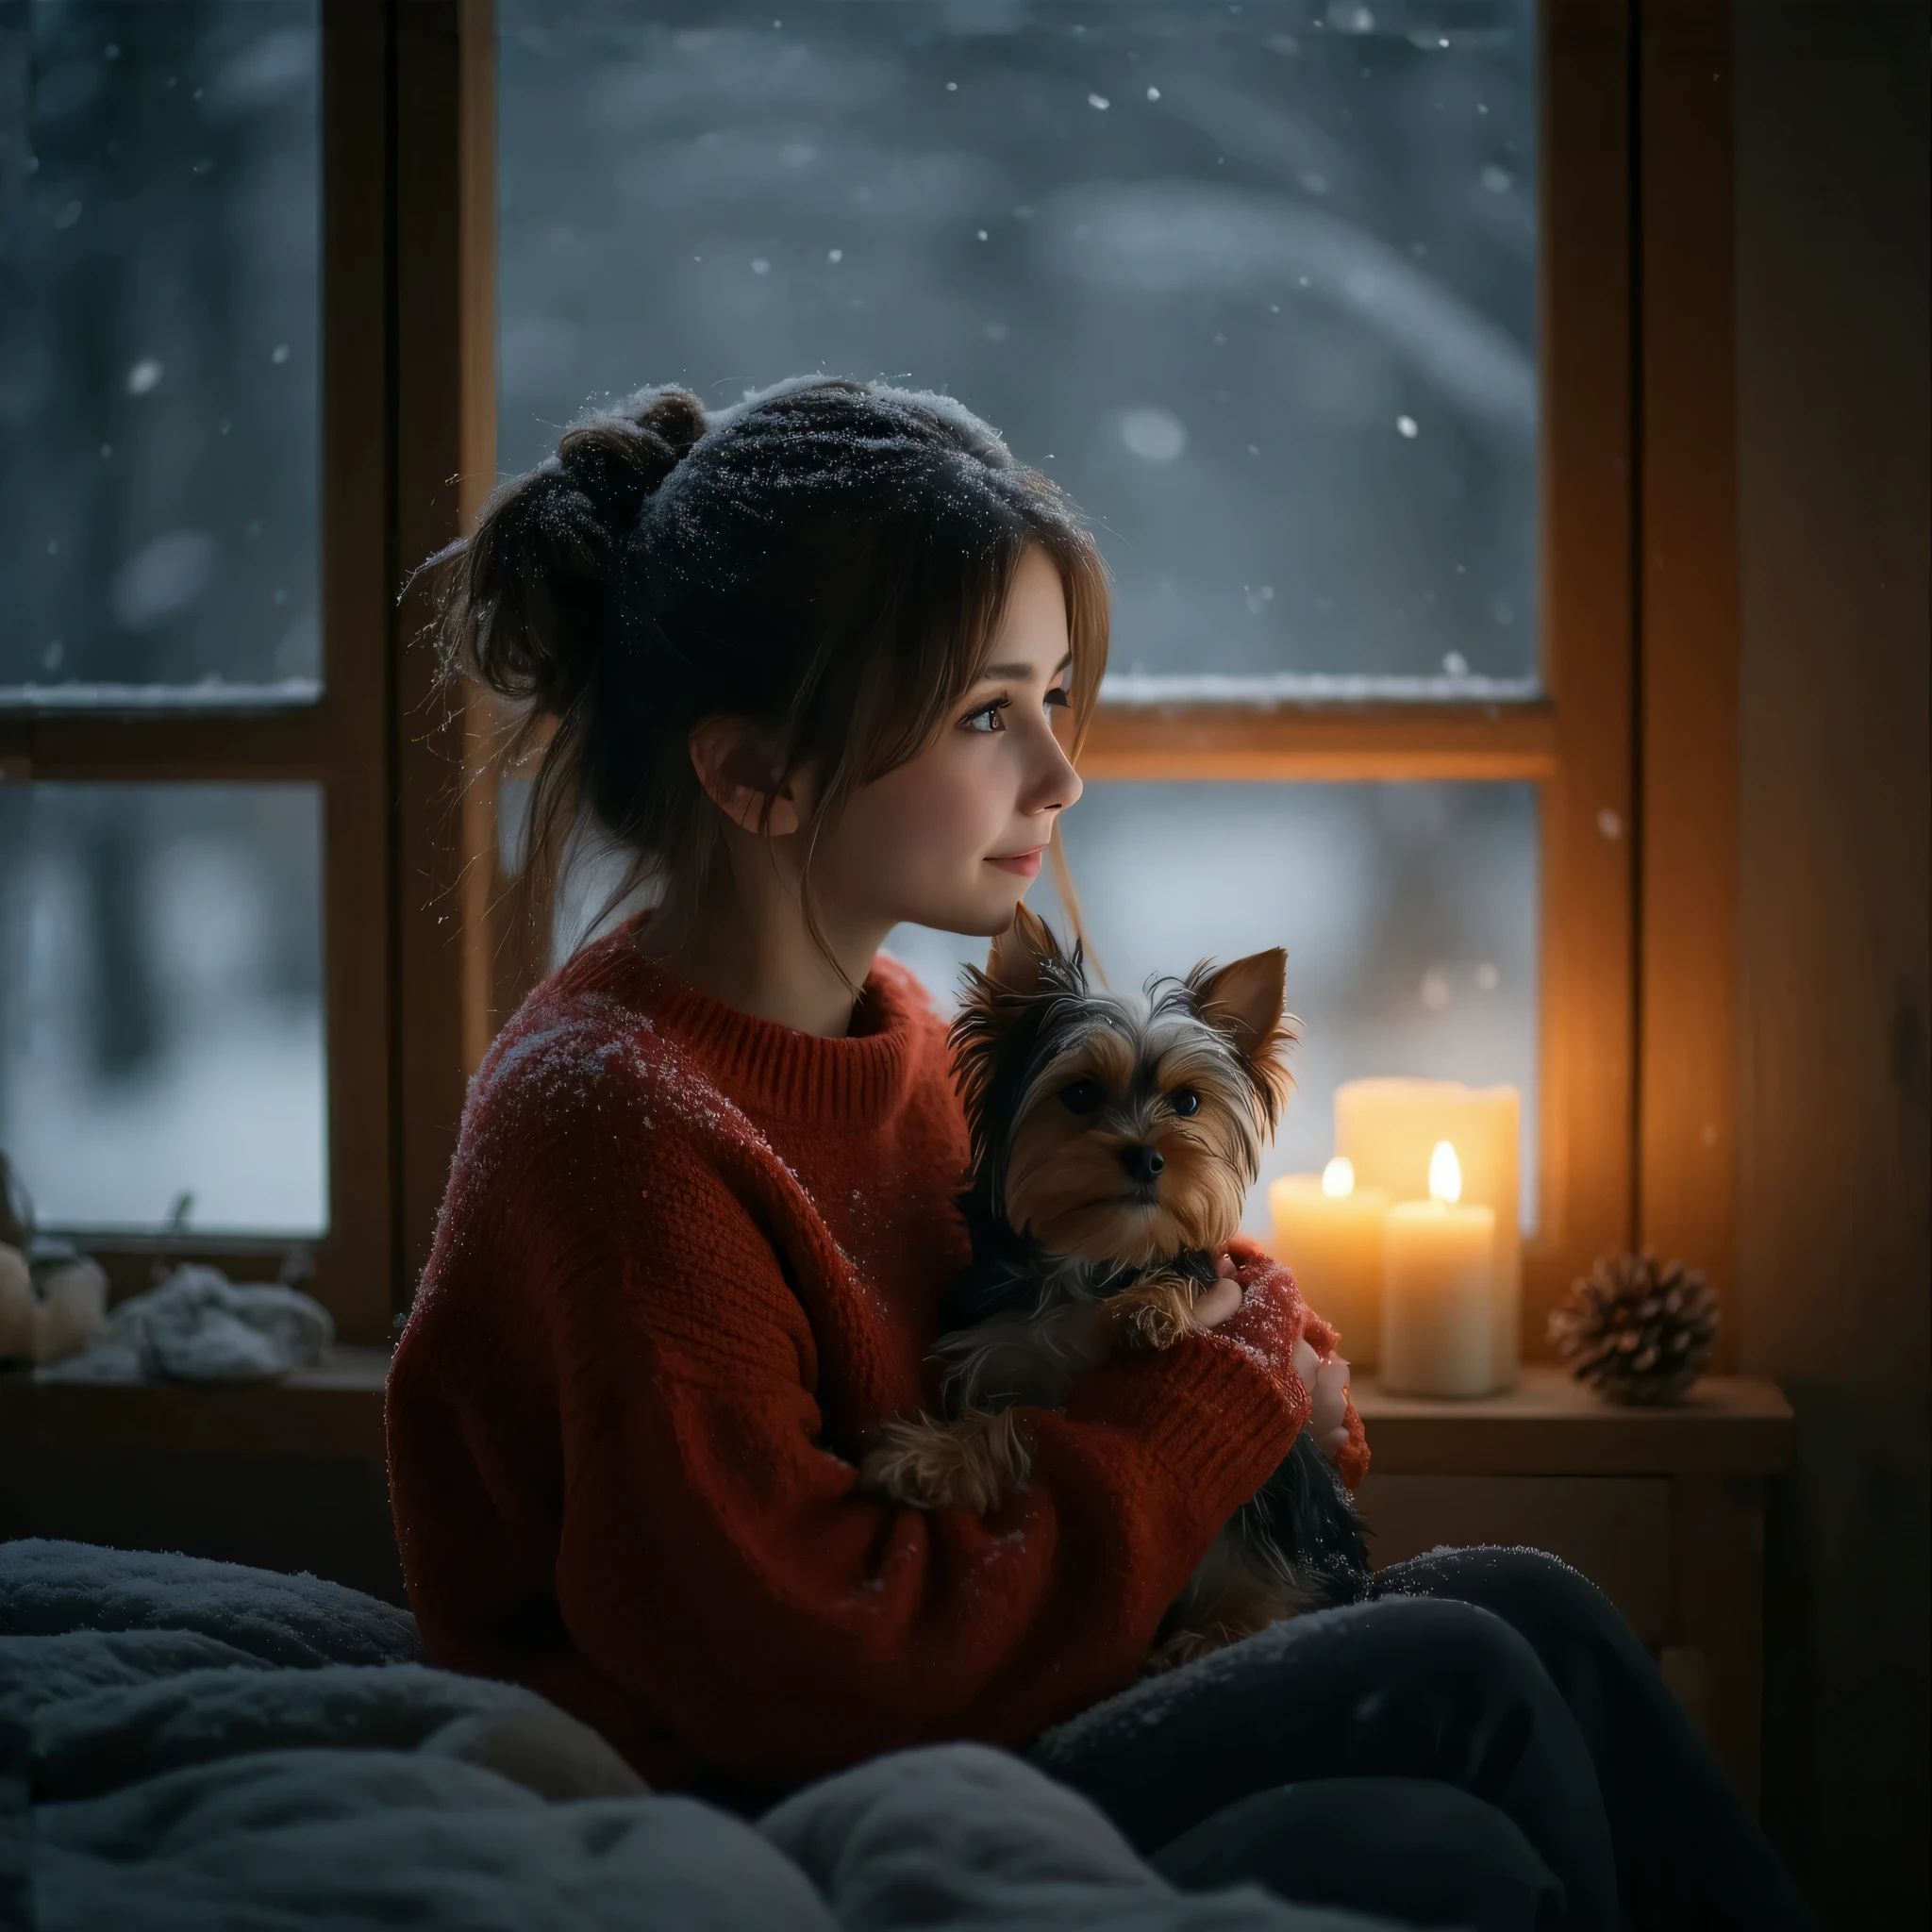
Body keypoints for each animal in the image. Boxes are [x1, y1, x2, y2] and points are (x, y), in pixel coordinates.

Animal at [869, 904, 1367, 1661]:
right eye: (1078, 1094)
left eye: (1187, 1102)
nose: (1147, 1155)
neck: (1095, 1256)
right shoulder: (1000, 1353)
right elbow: (1017, 1420)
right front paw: (935, 1457)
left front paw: (1151, 1307)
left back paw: (1218, 1632)